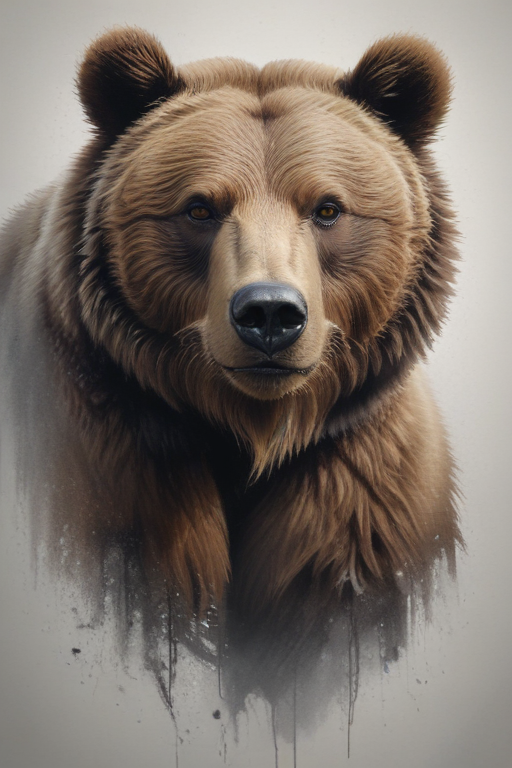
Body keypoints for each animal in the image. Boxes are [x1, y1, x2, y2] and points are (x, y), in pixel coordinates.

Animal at [0, 29, 461, 678]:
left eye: (327, 208)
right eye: (199, 207)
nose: (269, 313)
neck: (253, 432)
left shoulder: (361, 478)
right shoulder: (105, 450)